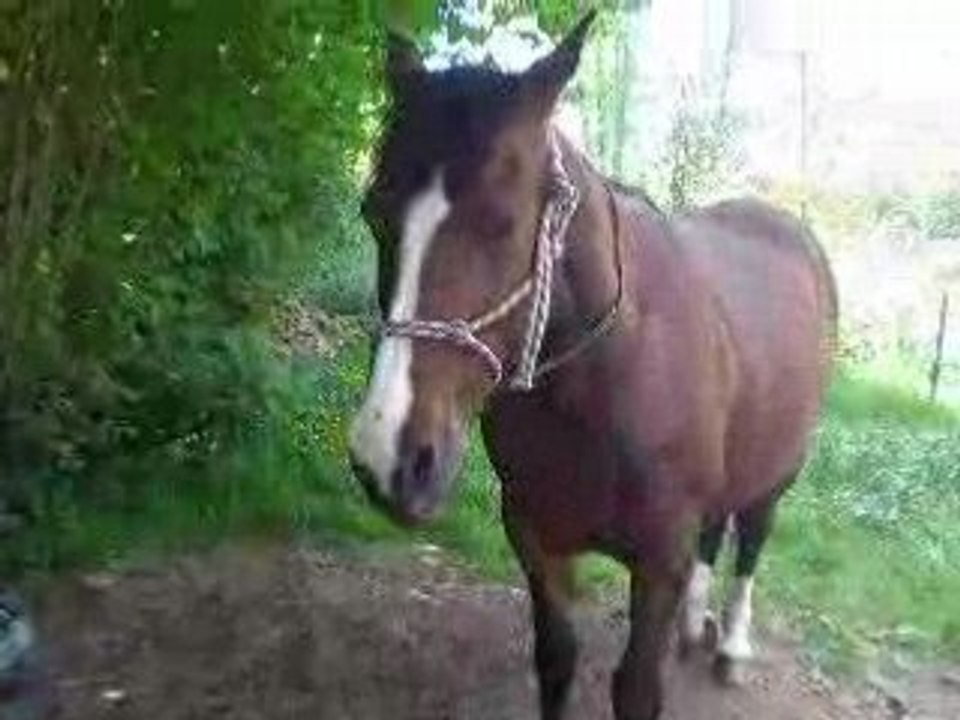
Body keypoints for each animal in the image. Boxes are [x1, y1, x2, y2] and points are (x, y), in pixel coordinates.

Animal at [348, 11, 837, 720]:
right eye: (374, 213)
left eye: (502, 222)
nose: (389, 457)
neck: (603, 386)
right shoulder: (534, 533)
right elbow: (556, 659)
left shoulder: (659, 559)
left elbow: (636, 689)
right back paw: (695, 626)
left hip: (780, 469)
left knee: (752, 535)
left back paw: (731, 646)